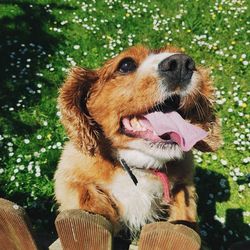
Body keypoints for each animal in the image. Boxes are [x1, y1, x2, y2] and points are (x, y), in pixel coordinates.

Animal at [53, 45, 220, 234]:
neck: (137, 166)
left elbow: (184, 213)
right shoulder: (69, 174)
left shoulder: (185, 182)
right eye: (126, 64)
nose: (182, 63)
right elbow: (87, 198)